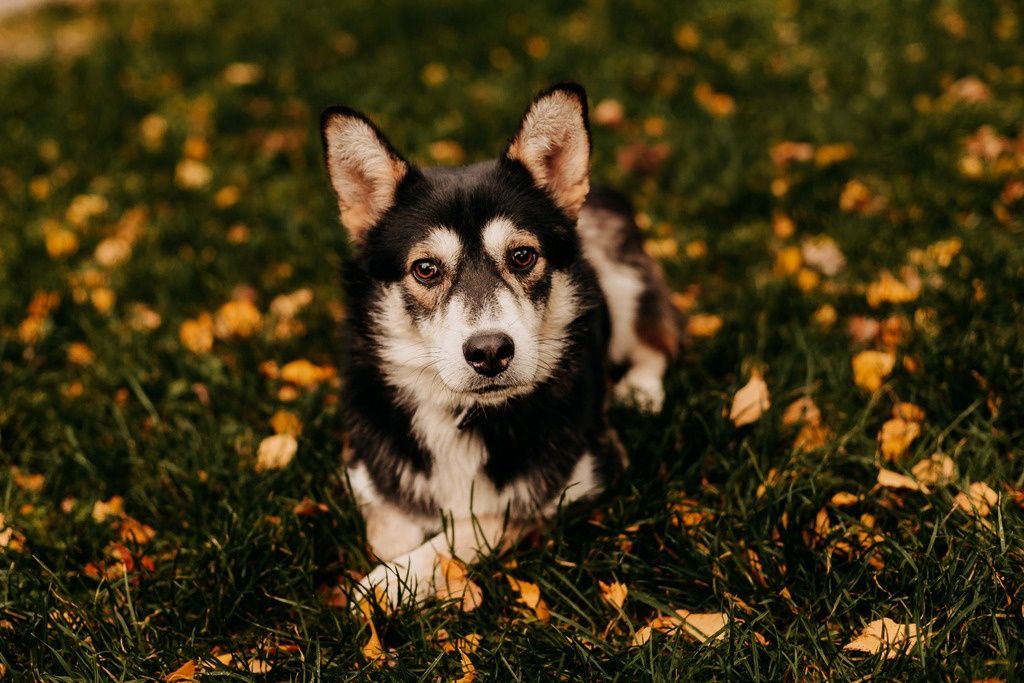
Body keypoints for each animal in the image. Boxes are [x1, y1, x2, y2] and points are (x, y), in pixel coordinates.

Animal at [319, 81, 679, 610]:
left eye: (523, 255)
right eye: (425, 268)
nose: (490, 352)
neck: (466, 414)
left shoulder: (584, 474)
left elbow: (475, 526)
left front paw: (390, 582)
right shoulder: (365, 468)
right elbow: (386, 525)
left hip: (623, 276)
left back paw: (642, 390)